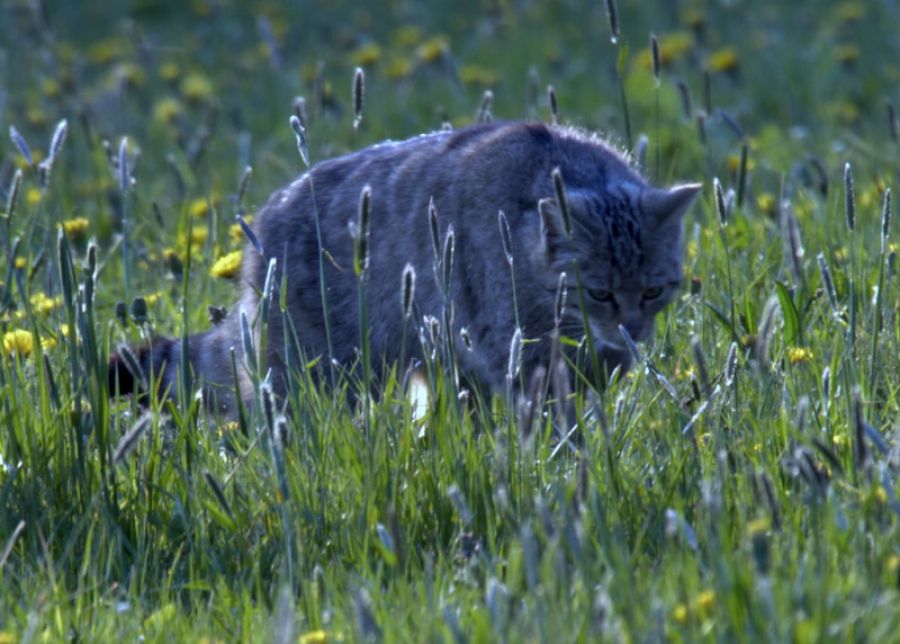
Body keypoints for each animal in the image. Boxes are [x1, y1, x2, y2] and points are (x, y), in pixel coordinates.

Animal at [110, 121, 704, 412]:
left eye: (653, 291)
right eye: (598, 293)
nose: (632, 328)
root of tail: (260, 231)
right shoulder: (515, 356)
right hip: (315, 372)